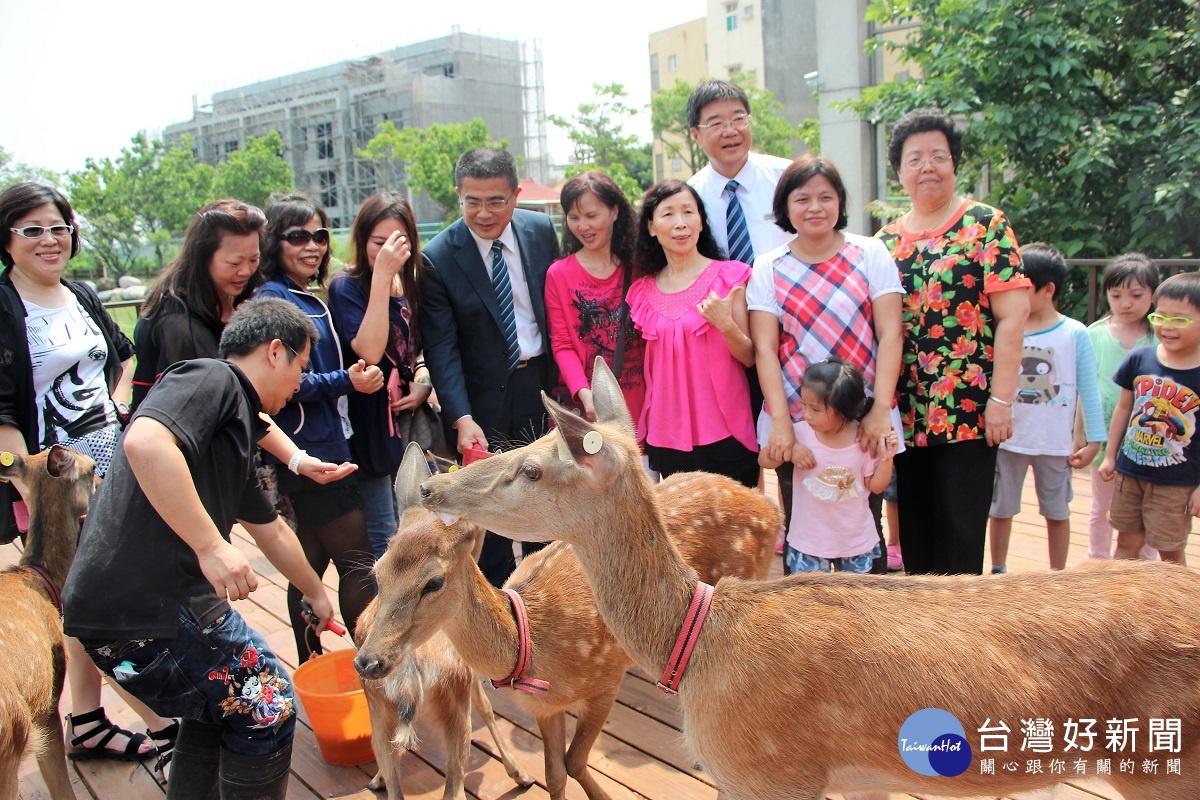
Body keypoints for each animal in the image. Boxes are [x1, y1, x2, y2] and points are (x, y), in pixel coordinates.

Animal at [350, 443, 777, 800]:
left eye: (434, 582)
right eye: (376, 573)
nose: (368, 661)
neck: (530, 644)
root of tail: (770, 509)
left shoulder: (606, 679)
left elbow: (575, 760)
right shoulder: (545, 709)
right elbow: (554, 774)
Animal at [417, 362, 1200, 800]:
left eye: (531, 466)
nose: (433, 484)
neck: (698, 650)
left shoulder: (772, 774)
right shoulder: (862, 779)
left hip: (1164, 769)